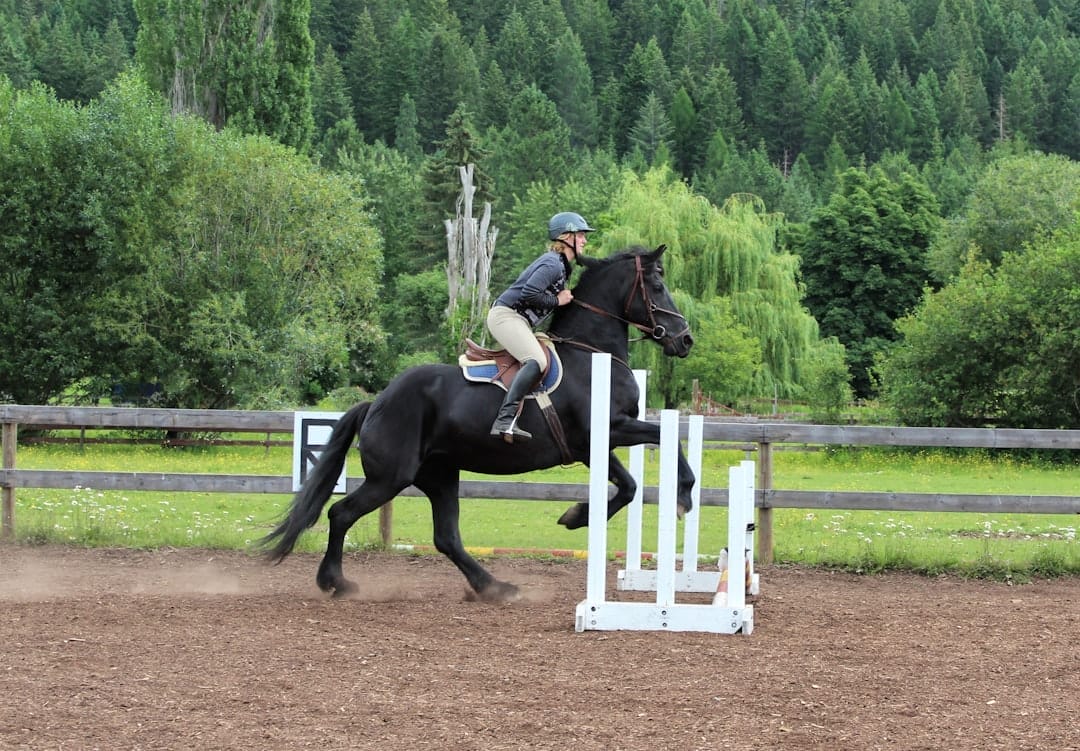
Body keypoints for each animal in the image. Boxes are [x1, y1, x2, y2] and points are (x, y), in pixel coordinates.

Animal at [265, 244, 695, 600]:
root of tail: (377, 403)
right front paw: (678, 498)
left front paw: (578, 515)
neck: (591, 353)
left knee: (446, 537)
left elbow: (634, 479)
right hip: (391, 477)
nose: (686, 340)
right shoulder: (605, 432)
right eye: (657, 285)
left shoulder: (599, 444)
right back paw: (336, 582)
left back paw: (494, 586)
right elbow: (655, 456)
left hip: (439, 474)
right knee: (341, 514)